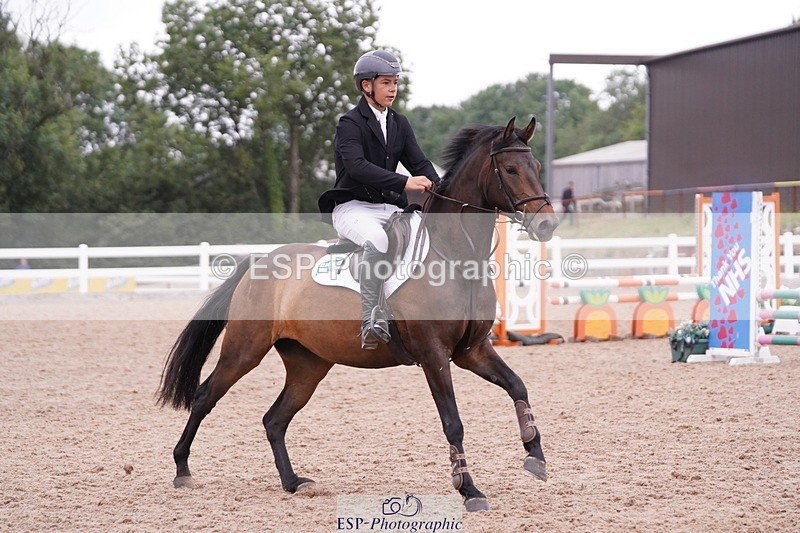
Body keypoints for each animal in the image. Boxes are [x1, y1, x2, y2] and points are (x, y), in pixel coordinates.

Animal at [158, 116, 559, 512]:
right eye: (510, 169)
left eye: (537, 167)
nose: (547, 225)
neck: (454, 258)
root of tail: (258, 260)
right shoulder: (434, 355)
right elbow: (453, 422)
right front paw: (469, 489)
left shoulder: (472, 351)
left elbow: (517, 385)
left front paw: (535, 455)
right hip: (244, 350)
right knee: (206, 396)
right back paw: (182, 470)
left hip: (308, 364)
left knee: (274, 419)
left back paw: (293, 482)